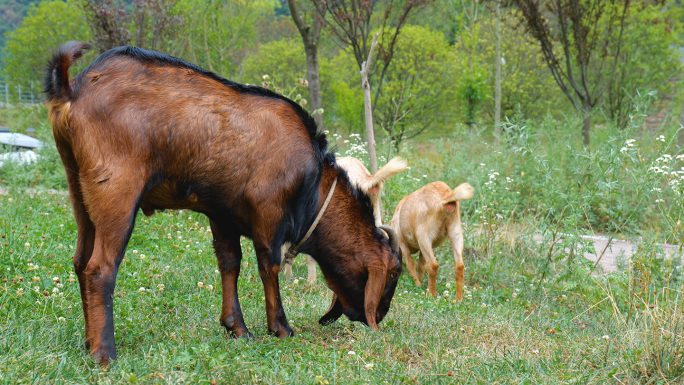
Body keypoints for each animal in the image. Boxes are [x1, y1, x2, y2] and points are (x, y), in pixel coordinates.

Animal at [45, 42, 404, 364]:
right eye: (394, 273)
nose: (379, 316)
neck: (314, 184)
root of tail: (73, 88)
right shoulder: (268, 211)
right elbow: (269, 265)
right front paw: (280, 327)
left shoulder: (222, 214)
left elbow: (230, 263)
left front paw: (237, 328)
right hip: (116, 190)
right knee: (99, 268)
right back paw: (104, 353)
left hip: (79, 188)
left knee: (80, 261)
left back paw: (89, 342)